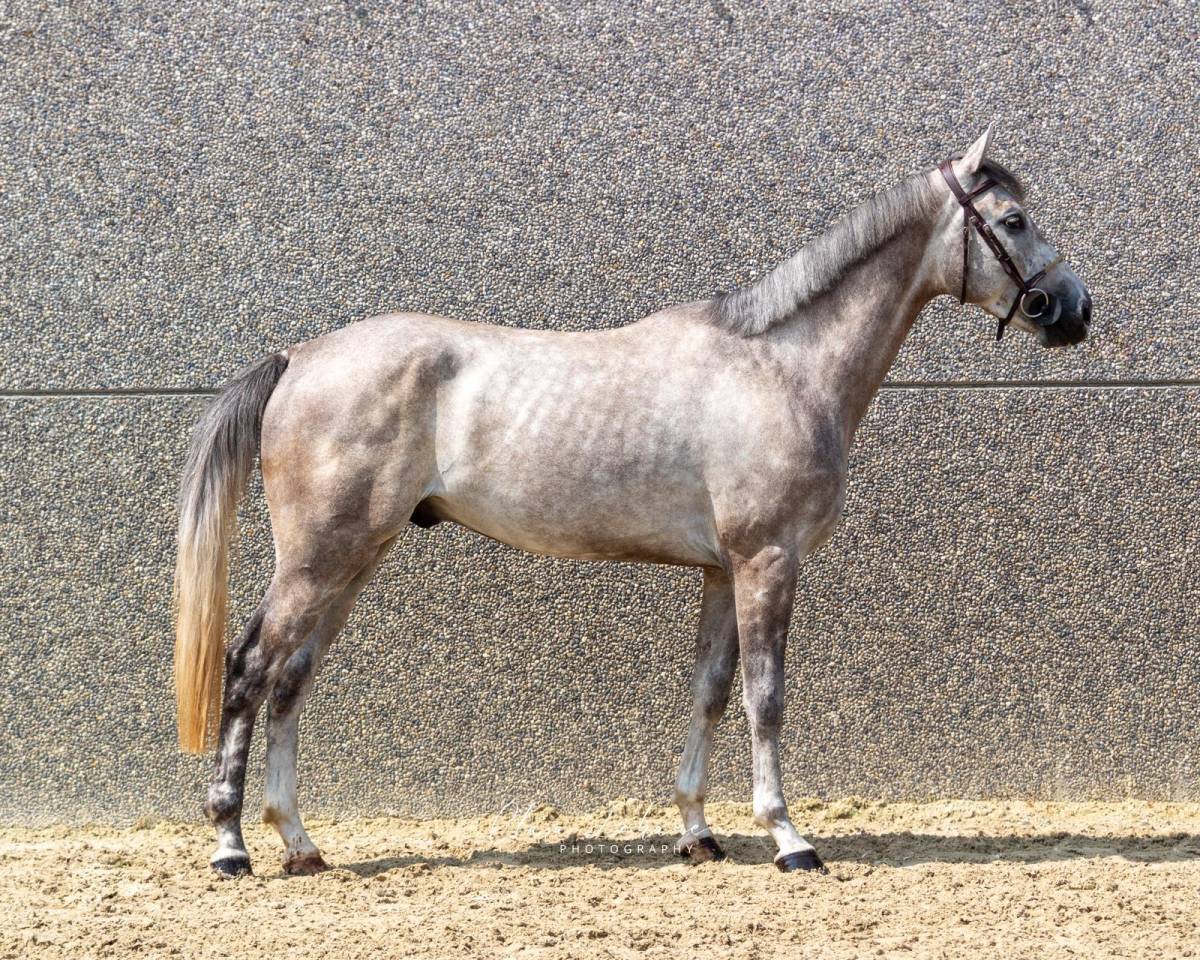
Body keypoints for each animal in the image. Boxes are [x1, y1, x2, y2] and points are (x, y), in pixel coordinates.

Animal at [174, 127, 1091, 877]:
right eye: (1013, 220)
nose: (1074, 310)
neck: (782, 365)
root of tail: (298, 357)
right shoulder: (769, 560)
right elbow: (766, 696)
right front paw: (789, 838)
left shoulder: (725, 570)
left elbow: (711, 690)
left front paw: (698, 831)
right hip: (319, 558)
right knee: (249, 671)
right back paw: (230, 846)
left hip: (354, 559)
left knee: (291, 681)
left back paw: (301, 844)